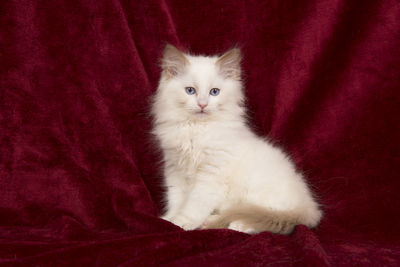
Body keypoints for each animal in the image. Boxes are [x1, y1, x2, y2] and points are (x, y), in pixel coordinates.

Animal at [150, 44, 322, 234]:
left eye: (214, 92)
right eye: (190, 91)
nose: (202, 104)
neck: (196, 129)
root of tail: (309, 207)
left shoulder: (211, 175)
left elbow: (195, 205)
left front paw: (182, 222)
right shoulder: (175, 169)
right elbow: (176, 200)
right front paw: (169, 219)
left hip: (258, 192)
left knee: (265, 218)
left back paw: (233, 225)